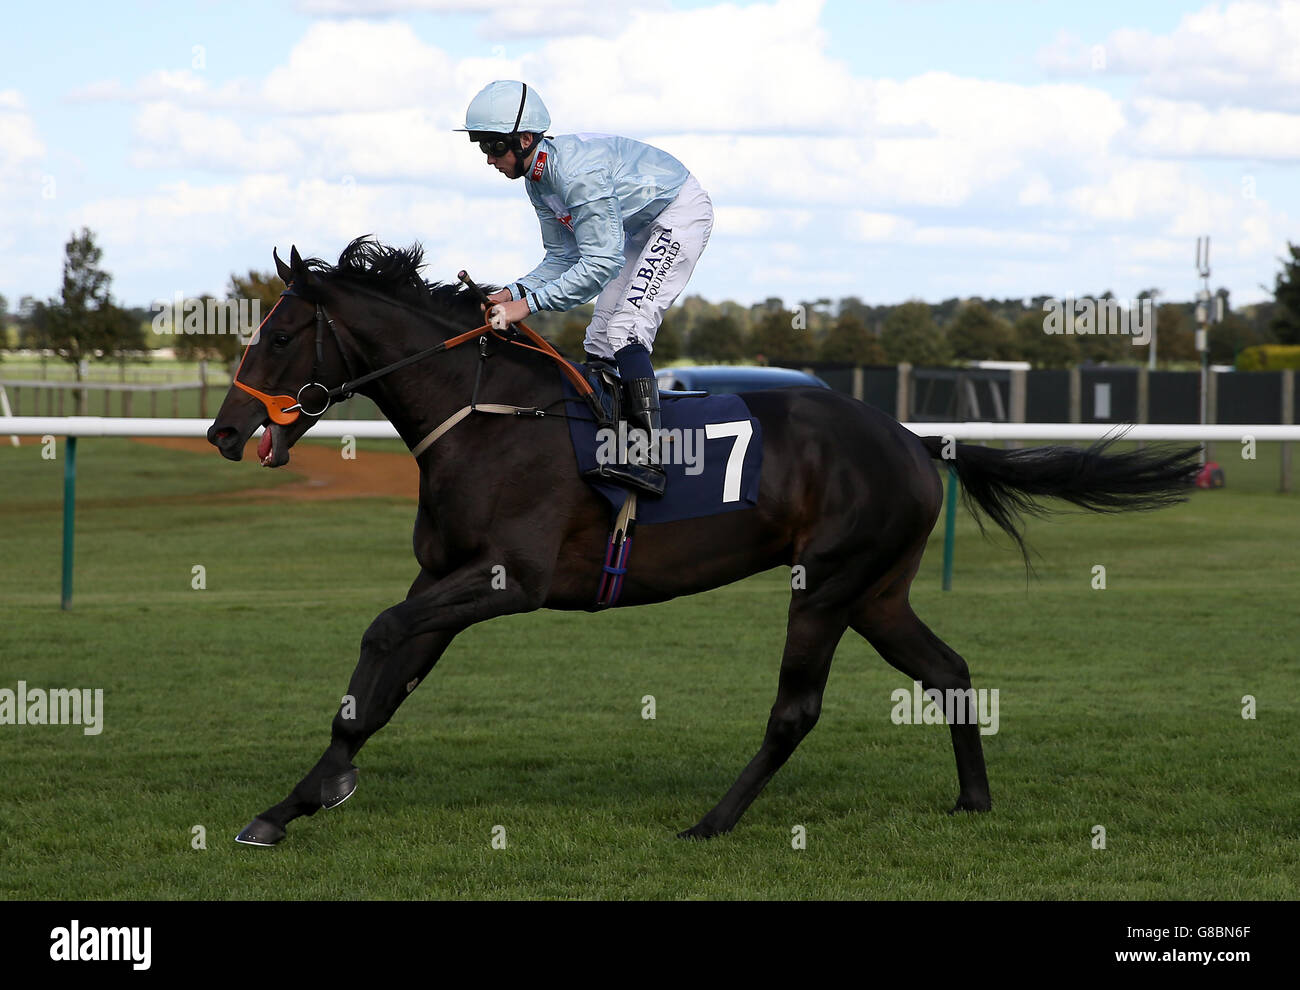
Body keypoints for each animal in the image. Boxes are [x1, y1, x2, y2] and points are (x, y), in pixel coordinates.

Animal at [205, 237, 1196, 841]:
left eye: (281, 334)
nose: (222, 432)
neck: (489, 417)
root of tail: (915, 440)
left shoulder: (507, 578)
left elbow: (379, 637)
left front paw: (314, 792)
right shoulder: (446, 580)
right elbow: (384, 679)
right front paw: (294, 801)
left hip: (826, 583)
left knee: (797, 709)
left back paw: (714, 820)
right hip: (876, 590)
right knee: (948, 672)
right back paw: (973, 799)